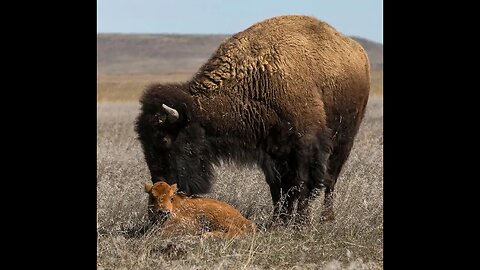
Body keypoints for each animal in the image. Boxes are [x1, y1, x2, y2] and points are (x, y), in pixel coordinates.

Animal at [135, 14, 372, 224]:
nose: (161, 185)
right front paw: (279, 222)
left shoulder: (304, 147)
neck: (256, 78)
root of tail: (359, 52)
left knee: (330, 180)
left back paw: (326, 219)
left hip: (344, 140)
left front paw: (300, 224)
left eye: (164, 139)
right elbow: (278, 188)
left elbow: (302, 184)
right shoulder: (270, 152)